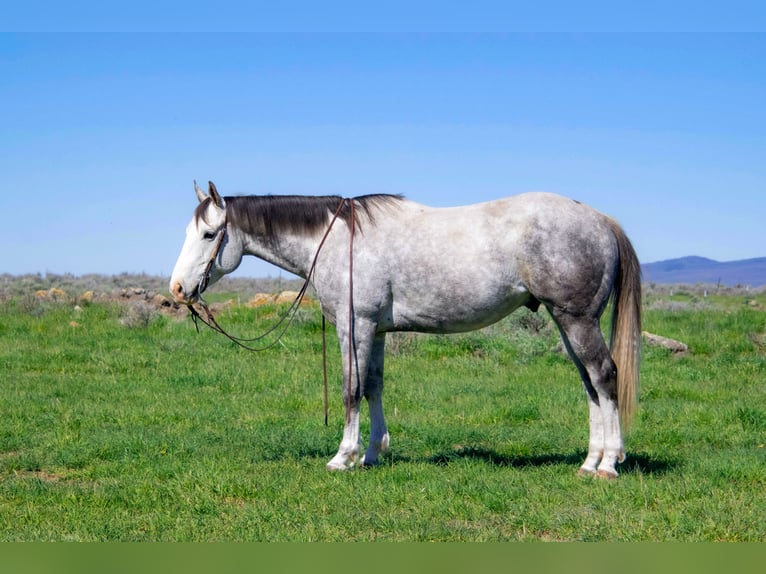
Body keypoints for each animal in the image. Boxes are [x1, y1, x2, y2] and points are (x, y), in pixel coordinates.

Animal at [170, 182, 640, 480]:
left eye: (209, 234)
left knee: (604, 376)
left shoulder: (354, 325)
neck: (335, 240)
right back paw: (590, 460)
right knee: (589, 384)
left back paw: (608, 465)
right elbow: (374, 386)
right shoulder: (376, 331)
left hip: (577, 320)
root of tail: (601, 220)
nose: (176, 289)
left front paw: (343, 457)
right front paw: (373, 453)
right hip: (567, 323)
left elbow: (351, 388)